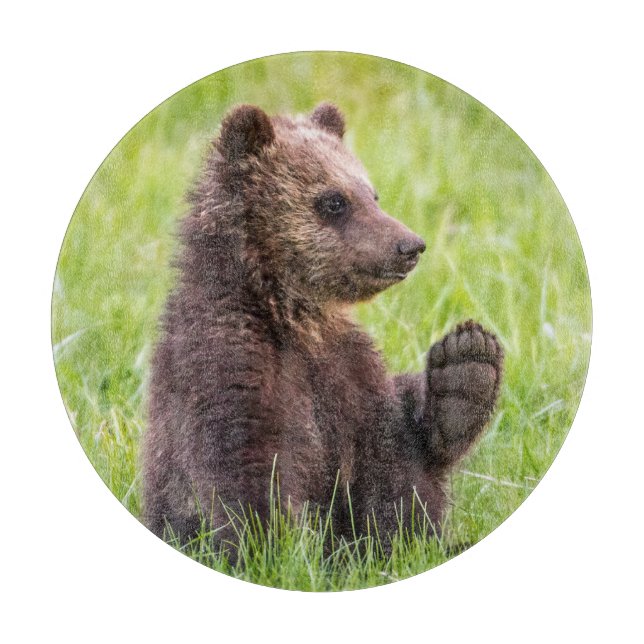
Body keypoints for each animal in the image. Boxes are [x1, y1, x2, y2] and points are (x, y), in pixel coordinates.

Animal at [141, 103, 503, 555]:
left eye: (372, 194)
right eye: (334, 200)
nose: (410, 245)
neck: (292, 314)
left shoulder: (349, 371)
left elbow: (394, 477)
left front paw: (467, 367)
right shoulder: (229, 360)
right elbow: (246, 467)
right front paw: (275, 547)